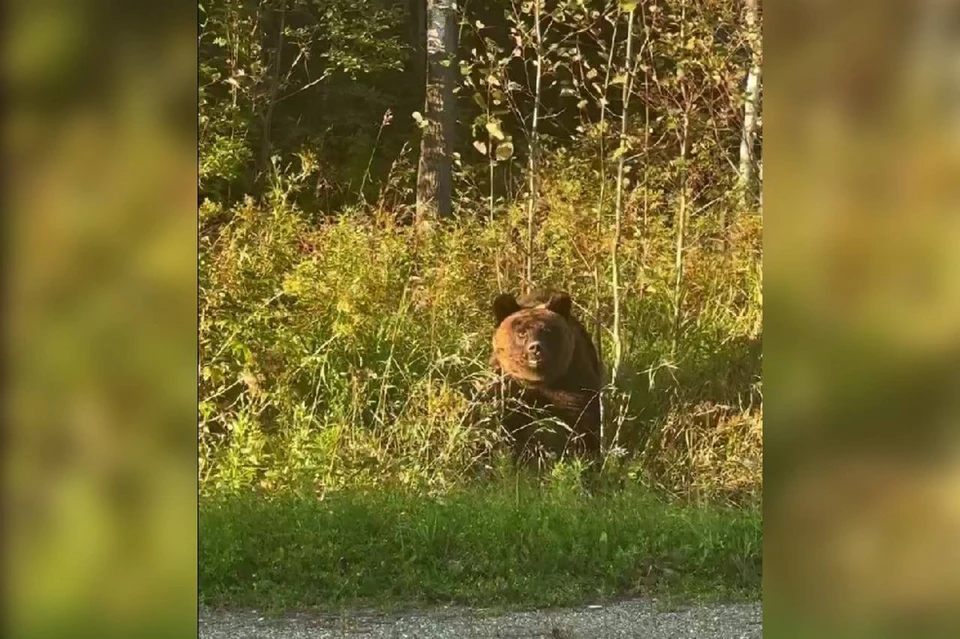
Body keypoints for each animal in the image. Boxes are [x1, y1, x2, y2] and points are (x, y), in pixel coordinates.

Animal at [492, 292, 604, 464]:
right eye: (521, 332)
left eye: (547, 330)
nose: (535, 348)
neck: (538, 382)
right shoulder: (507, 385)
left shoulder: (572, 381)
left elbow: (582, 421)